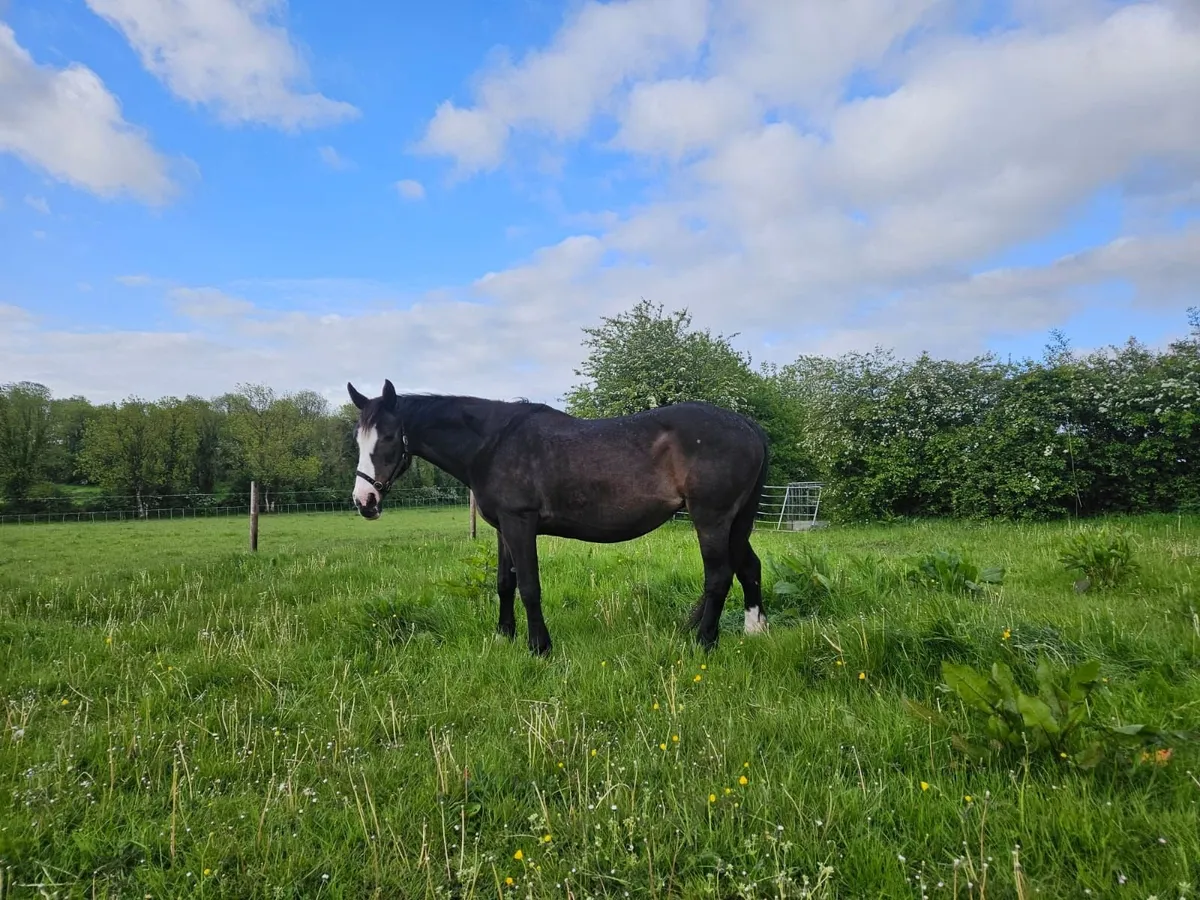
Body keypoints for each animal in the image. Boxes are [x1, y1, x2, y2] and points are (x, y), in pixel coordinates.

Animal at [347, 379, 771, 656]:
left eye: (388, 437)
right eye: (358, 439)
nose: (364, 500)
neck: (493, 443)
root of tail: (748, 426)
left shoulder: (520, 524)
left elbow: (529, 587)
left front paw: (539, 647)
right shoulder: (503, 527)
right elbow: (504, 583)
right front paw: (504, 636)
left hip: (711, 518)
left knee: (719, 576)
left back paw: (704, 642)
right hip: (736, 521)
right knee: (749, 566)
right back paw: (754, 630)